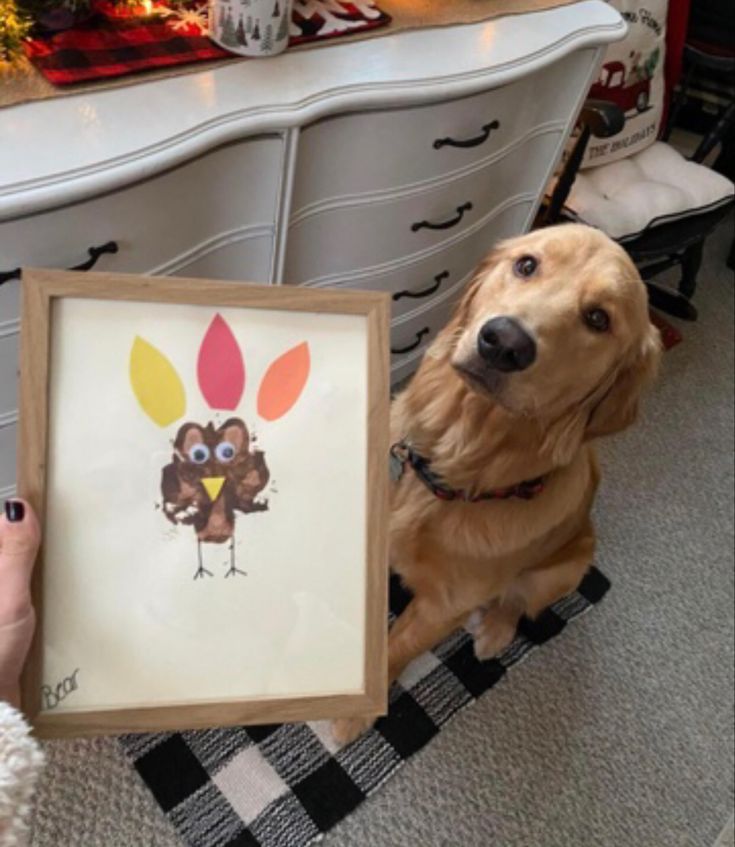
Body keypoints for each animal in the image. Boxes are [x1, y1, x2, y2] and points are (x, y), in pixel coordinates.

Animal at [334, 224, 660, 744]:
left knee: (518, 601)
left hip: (566, 566)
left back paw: (494, 632)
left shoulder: (442, 607)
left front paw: (356, 714)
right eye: (527, 265)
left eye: (598, 318)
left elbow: (398, 647)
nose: (503, 342)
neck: (451, 467)